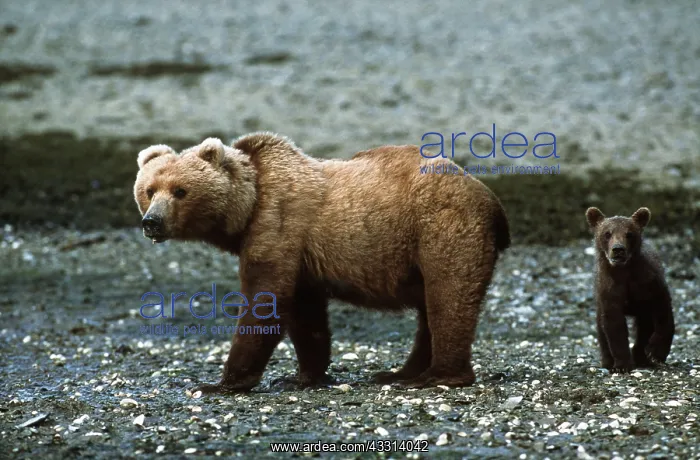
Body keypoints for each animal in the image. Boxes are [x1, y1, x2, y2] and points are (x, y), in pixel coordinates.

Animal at [134, 132, 511, 393]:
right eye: (150, 190)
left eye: (180, 190)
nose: (152, 222)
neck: (247, 208)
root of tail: (491, 197)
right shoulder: (301, 259)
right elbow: (305, 315)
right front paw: (301, 376)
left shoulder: (278, 226)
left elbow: (265, 301)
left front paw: (221, 382)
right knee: (429, 309)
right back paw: (400, 372)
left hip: (441, 228)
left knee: (448, 296)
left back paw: (435, 376)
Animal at [585, 206, 674, 373]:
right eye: (607, 233)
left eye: (629, 233)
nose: (618, 249)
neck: (624, 272)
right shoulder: (609, 291)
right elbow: (614, 326)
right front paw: (622, 365)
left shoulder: (650, 284)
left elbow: (664, 314)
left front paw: (656, 353)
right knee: (601, 329)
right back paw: (608, 361)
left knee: (645, 325)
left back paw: (642, 356)